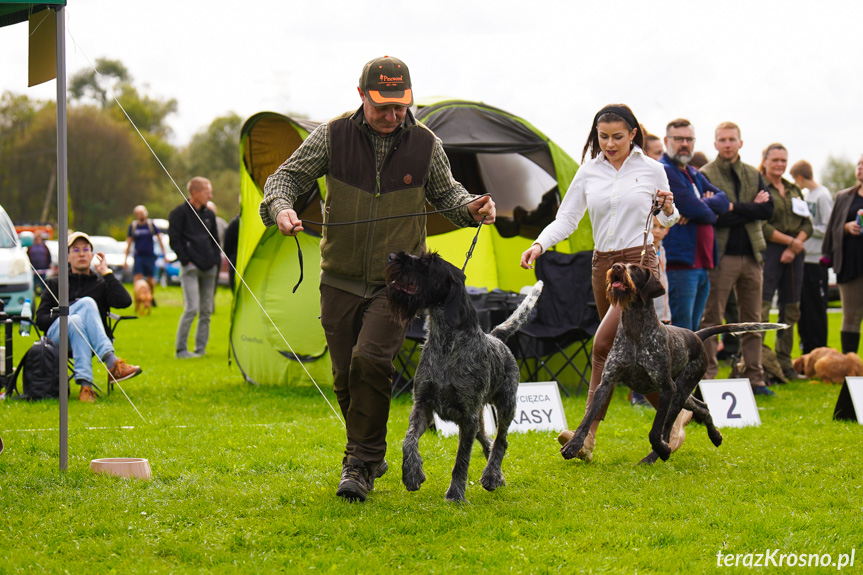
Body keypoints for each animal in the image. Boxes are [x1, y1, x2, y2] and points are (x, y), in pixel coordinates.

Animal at [388, 250, 544, 502]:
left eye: (428, 262)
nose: (393, 256)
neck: (445, 342)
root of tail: (496, 337)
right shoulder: (423, 405)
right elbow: (408, 440)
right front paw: (412, 474)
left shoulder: (467, 417)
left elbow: (461, 459)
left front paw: (455, 494)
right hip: (480, 419)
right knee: (488, 440)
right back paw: (497, 475)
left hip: (506, 406)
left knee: (501, 441)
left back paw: (491, 476)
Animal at [560, 264, 788, 466]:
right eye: (620, 264)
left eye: (635, 269)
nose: (616, 267)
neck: (635, 330)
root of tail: (696, 335)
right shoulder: (606, 382)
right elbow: (588, 418)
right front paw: (574, 446)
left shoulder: (666, 388)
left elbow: (655, 431)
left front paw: (662, 450)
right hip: (682, 393)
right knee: (702, 407)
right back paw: (714, 436)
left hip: (681, 389)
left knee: (671, 426)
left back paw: (656, 455)